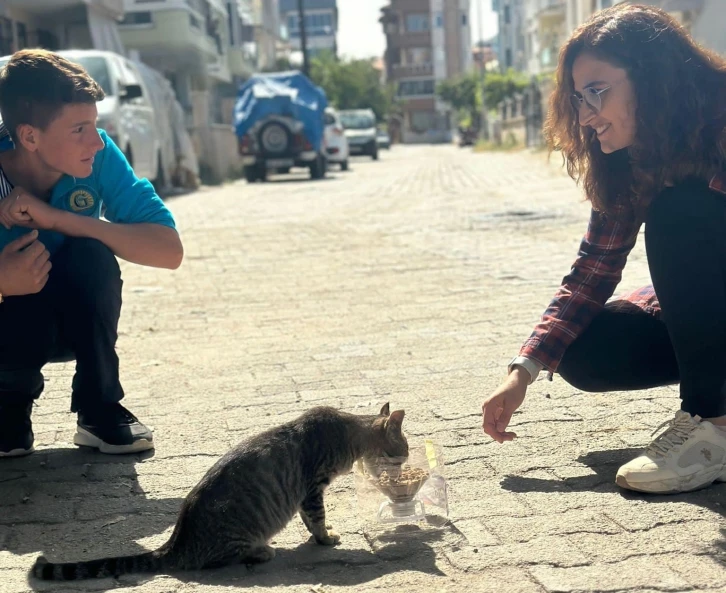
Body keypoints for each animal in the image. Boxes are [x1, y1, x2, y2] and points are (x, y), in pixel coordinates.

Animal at [32, 400, 410, 580]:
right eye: (405, 446)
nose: (407, 458)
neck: (347, 434)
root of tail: (175, 543)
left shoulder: (306, 494)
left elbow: (309, 519)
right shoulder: (312, 488)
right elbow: (315, 519)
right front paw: (326, 537)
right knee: (222, 559)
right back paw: (261, 552)